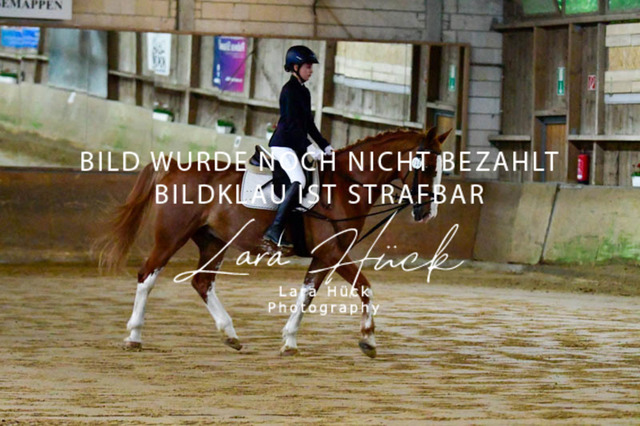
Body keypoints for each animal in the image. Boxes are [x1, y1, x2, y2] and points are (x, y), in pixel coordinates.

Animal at [99, 127, 450, 358]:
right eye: (428, 166)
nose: (428, 212)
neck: (345, 184)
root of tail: (173, 166)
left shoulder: (324, 256)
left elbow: (307, 294)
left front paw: (289, 341)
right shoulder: (335, 252)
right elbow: (365, 288)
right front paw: (368, 341)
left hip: (213, 241)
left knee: (202, 282)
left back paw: (230, 335)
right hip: (171, 236)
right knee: (147, 276)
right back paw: (134, 336)